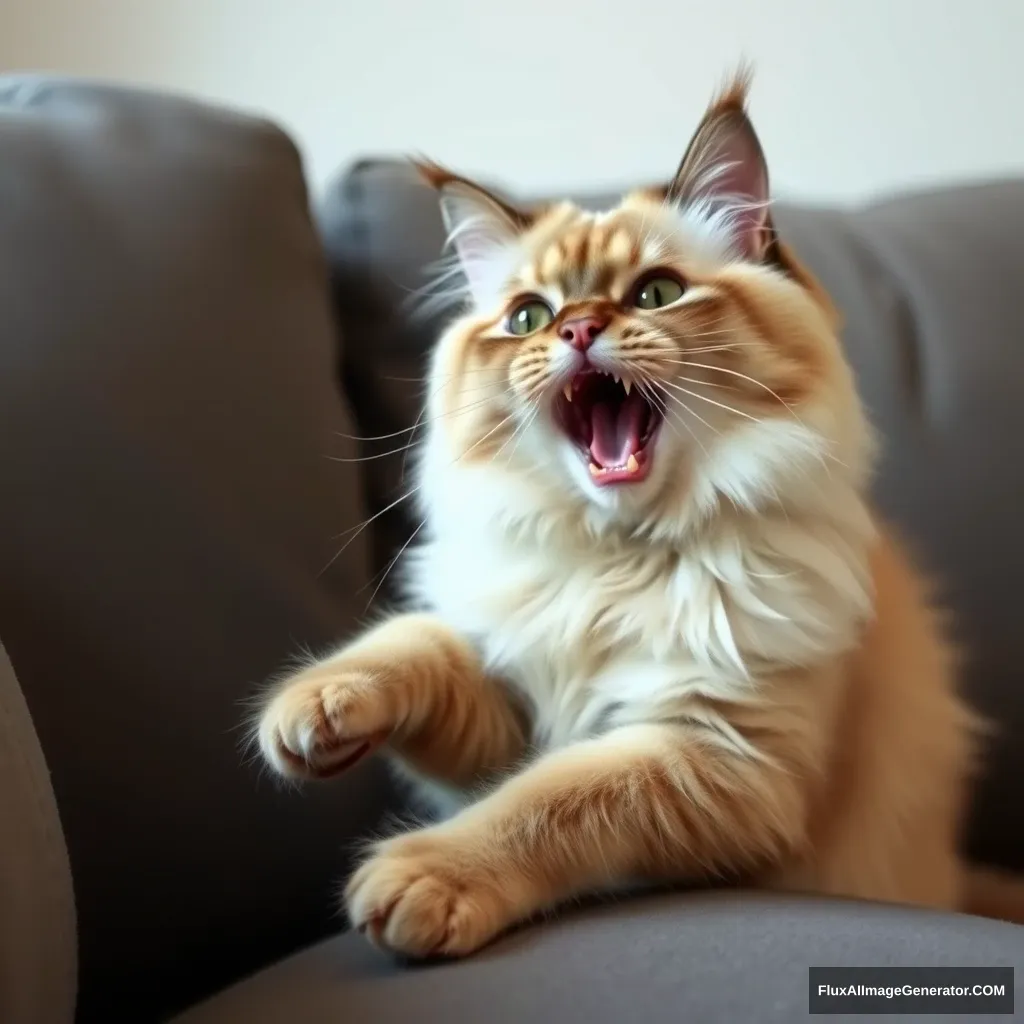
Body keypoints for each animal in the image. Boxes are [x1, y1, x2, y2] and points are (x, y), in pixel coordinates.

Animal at [256, 74, 1024, 958]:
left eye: (655, 294)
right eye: (528, 317)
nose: (580, 328)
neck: (614, 558)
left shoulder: (718, 755)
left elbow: (549, 800)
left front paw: (421, 879)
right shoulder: (510, 709)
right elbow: (419, 647)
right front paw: (312, 708)